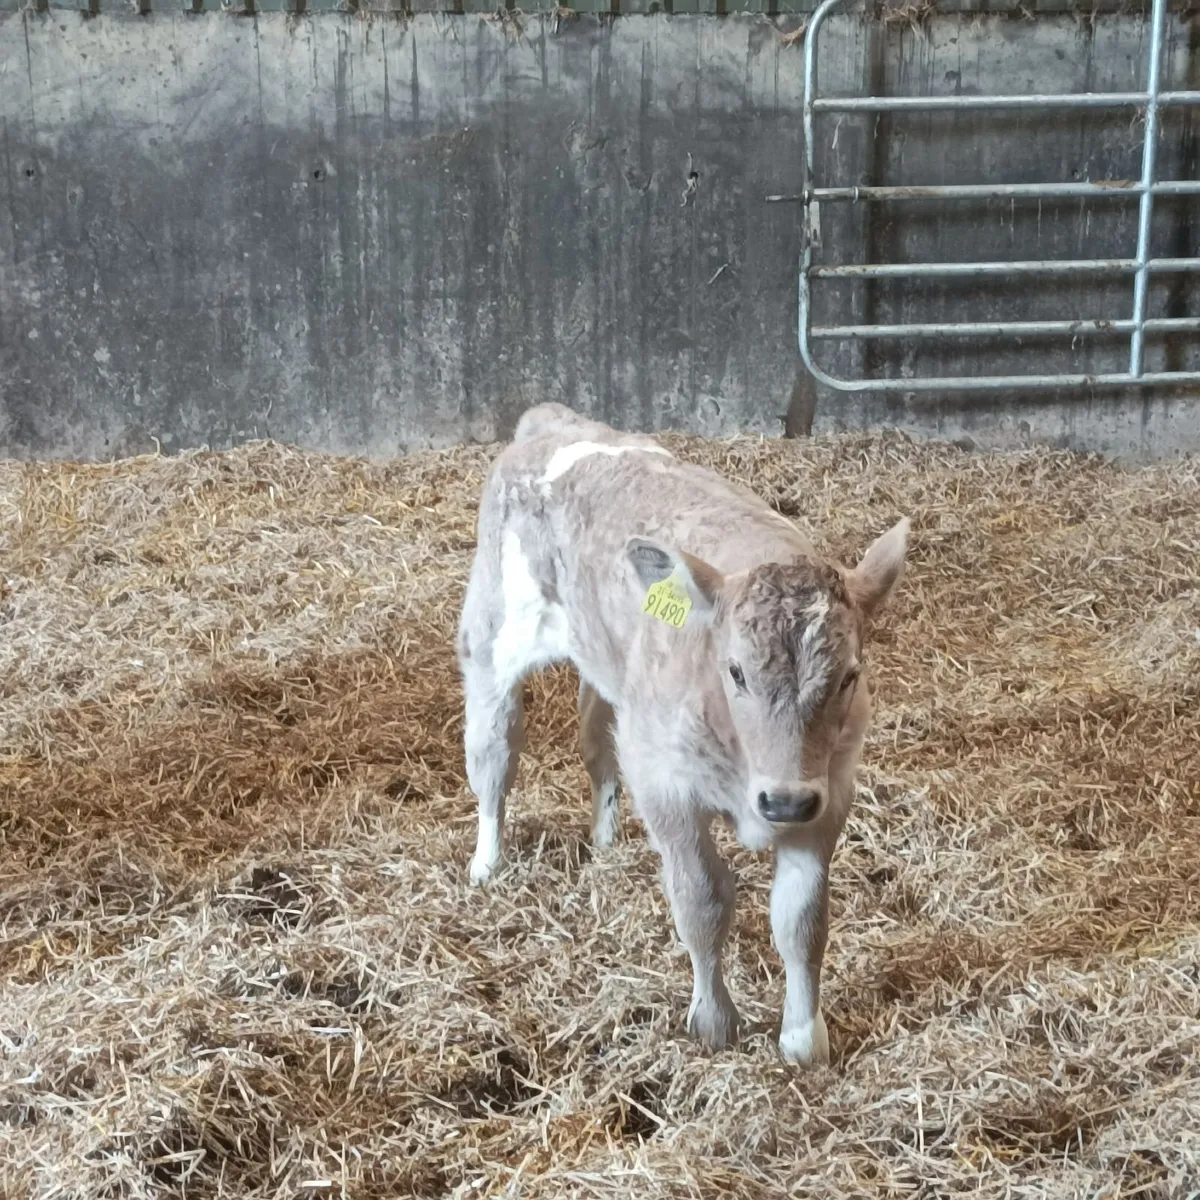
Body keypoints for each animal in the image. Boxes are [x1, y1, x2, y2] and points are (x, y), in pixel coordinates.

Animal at [456, 403, 908, 1066]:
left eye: (850, 675)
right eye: (735, 671)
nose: (783, 801)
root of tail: (551, 422)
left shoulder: (828, 793)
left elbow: (801, 920)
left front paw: (804, 1040)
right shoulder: (665, 784)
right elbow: (701, 900)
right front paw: (714, 1022)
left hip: (612, 677)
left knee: (596, 739)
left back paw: (605, 838)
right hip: (494, 634)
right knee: (494, 755)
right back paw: (487, 863)